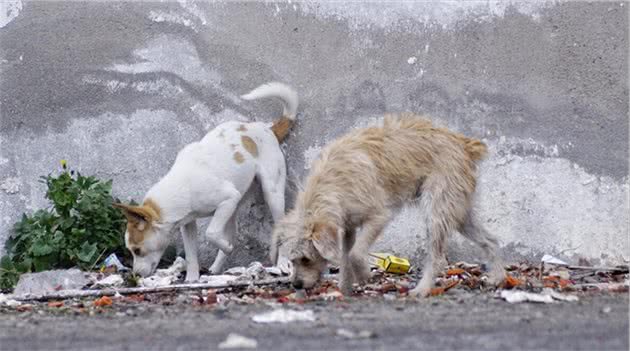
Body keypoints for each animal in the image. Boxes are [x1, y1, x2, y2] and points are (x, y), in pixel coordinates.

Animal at [115, 82, 298, 280]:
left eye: (137, 250)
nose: (136, 275)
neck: (181, 186)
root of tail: (268, 129)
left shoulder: (227, 199)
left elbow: (211, 233)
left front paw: (225, 247)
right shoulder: (188, 224)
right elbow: (191, 255)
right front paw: (192, 279)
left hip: (272, 194)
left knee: (281, 230)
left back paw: (281, 264)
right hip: (235, 207)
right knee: (232, 235)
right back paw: (216, 269)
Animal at [272, 114, 508, 298]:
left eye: (306, 258)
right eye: (292, 260)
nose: (296, 285)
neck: (332, 183)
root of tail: (464, 144)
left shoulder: (378, 217)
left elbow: (356, 254)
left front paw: (364, 275)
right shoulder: (347, 227)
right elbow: (346, 257)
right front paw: (345, 289)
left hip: (437, 213)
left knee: (438, 258)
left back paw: (422, 289)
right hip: (460, 214)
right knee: (491, 240)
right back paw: (498, 277)